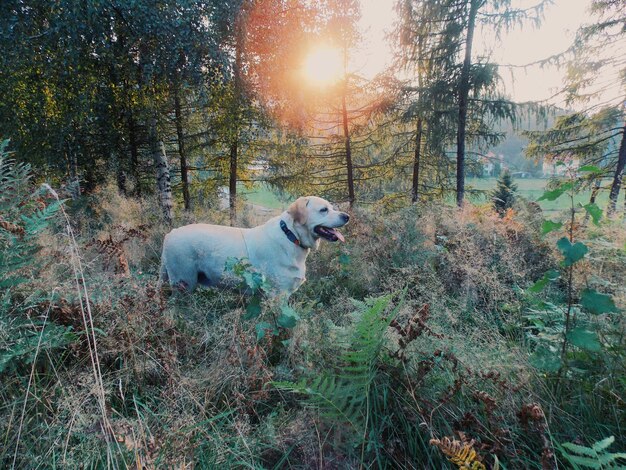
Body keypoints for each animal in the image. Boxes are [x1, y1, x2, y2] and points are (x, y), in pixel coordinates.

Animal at [158, 196, 348, 296]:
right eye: (324, 210)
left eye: (332, 207)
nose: (347, 216)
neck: (290, 235)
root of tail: (170, 233)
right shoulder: (277, 294)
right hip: (183, 283)